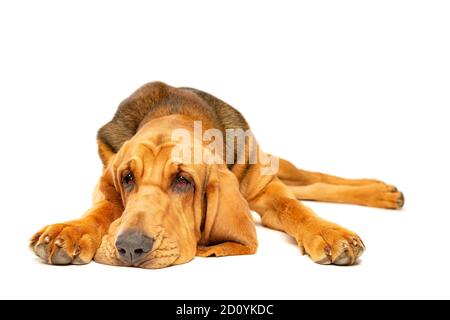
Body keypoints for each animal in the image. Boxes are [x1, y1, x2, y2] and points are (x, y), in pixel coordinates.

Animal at [30, 82, 404, 268]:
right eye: (127, 178)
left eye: (184, 181)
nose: (131, 248)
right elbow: (104, 208)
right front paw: (70, 231)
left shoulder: (267, 191)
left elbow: (295, 208)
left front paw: (330, 233)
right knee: (310, 184)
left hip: (264, 167)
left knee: (311, 180)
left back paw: (382, 192)